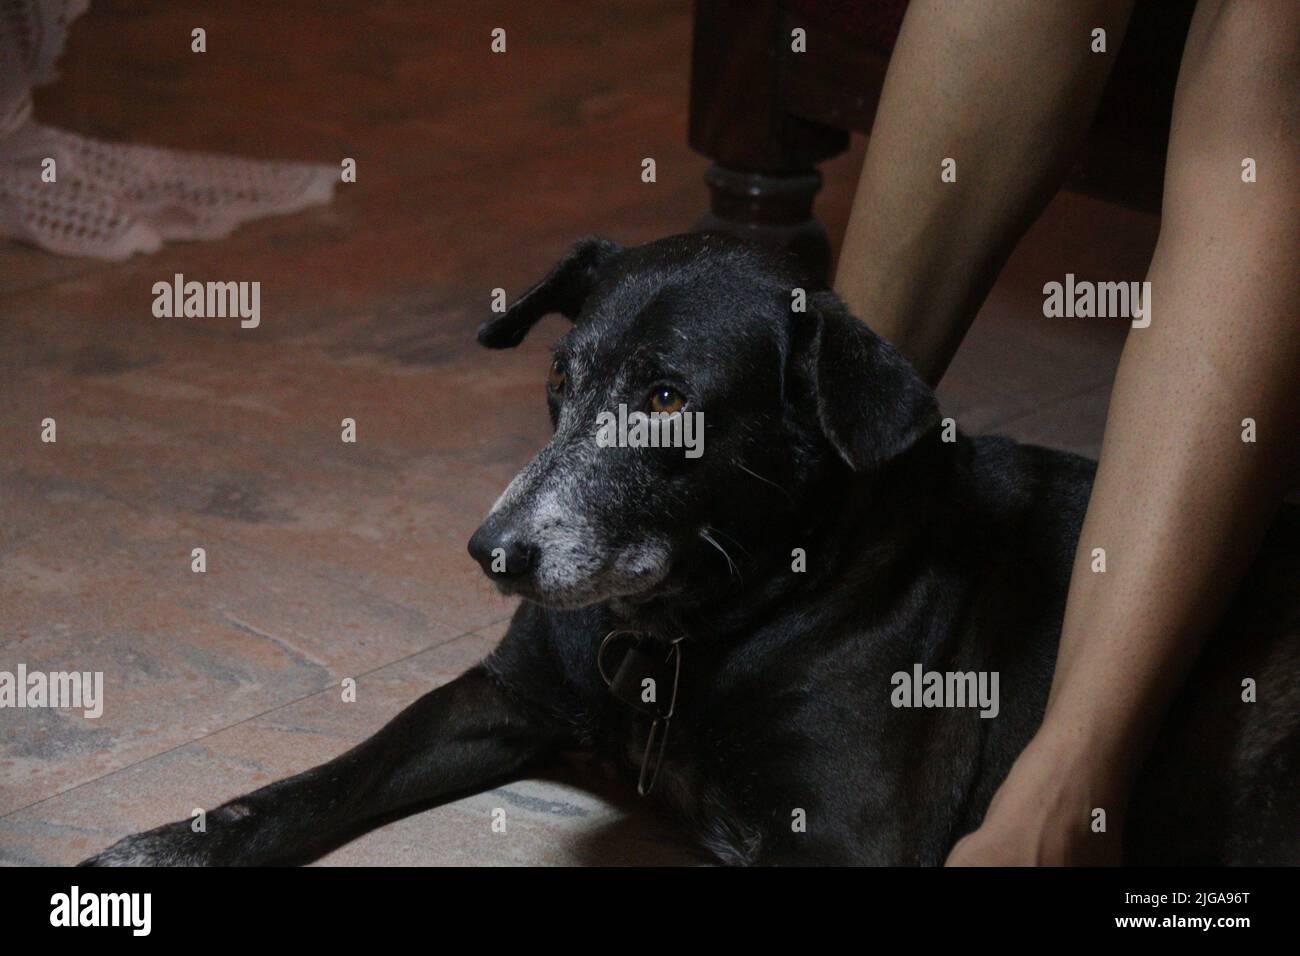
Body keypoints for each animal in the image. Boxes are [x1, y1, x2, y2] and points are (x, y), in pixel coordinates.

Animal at [83, 234, 1300, 868]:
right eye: (559, 380)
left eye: (669, 400)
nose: (491, 552)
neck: (695, 633)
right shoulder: (503, 694)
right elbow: (326, 777)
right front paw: (167, 845)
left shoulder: (843, 842)